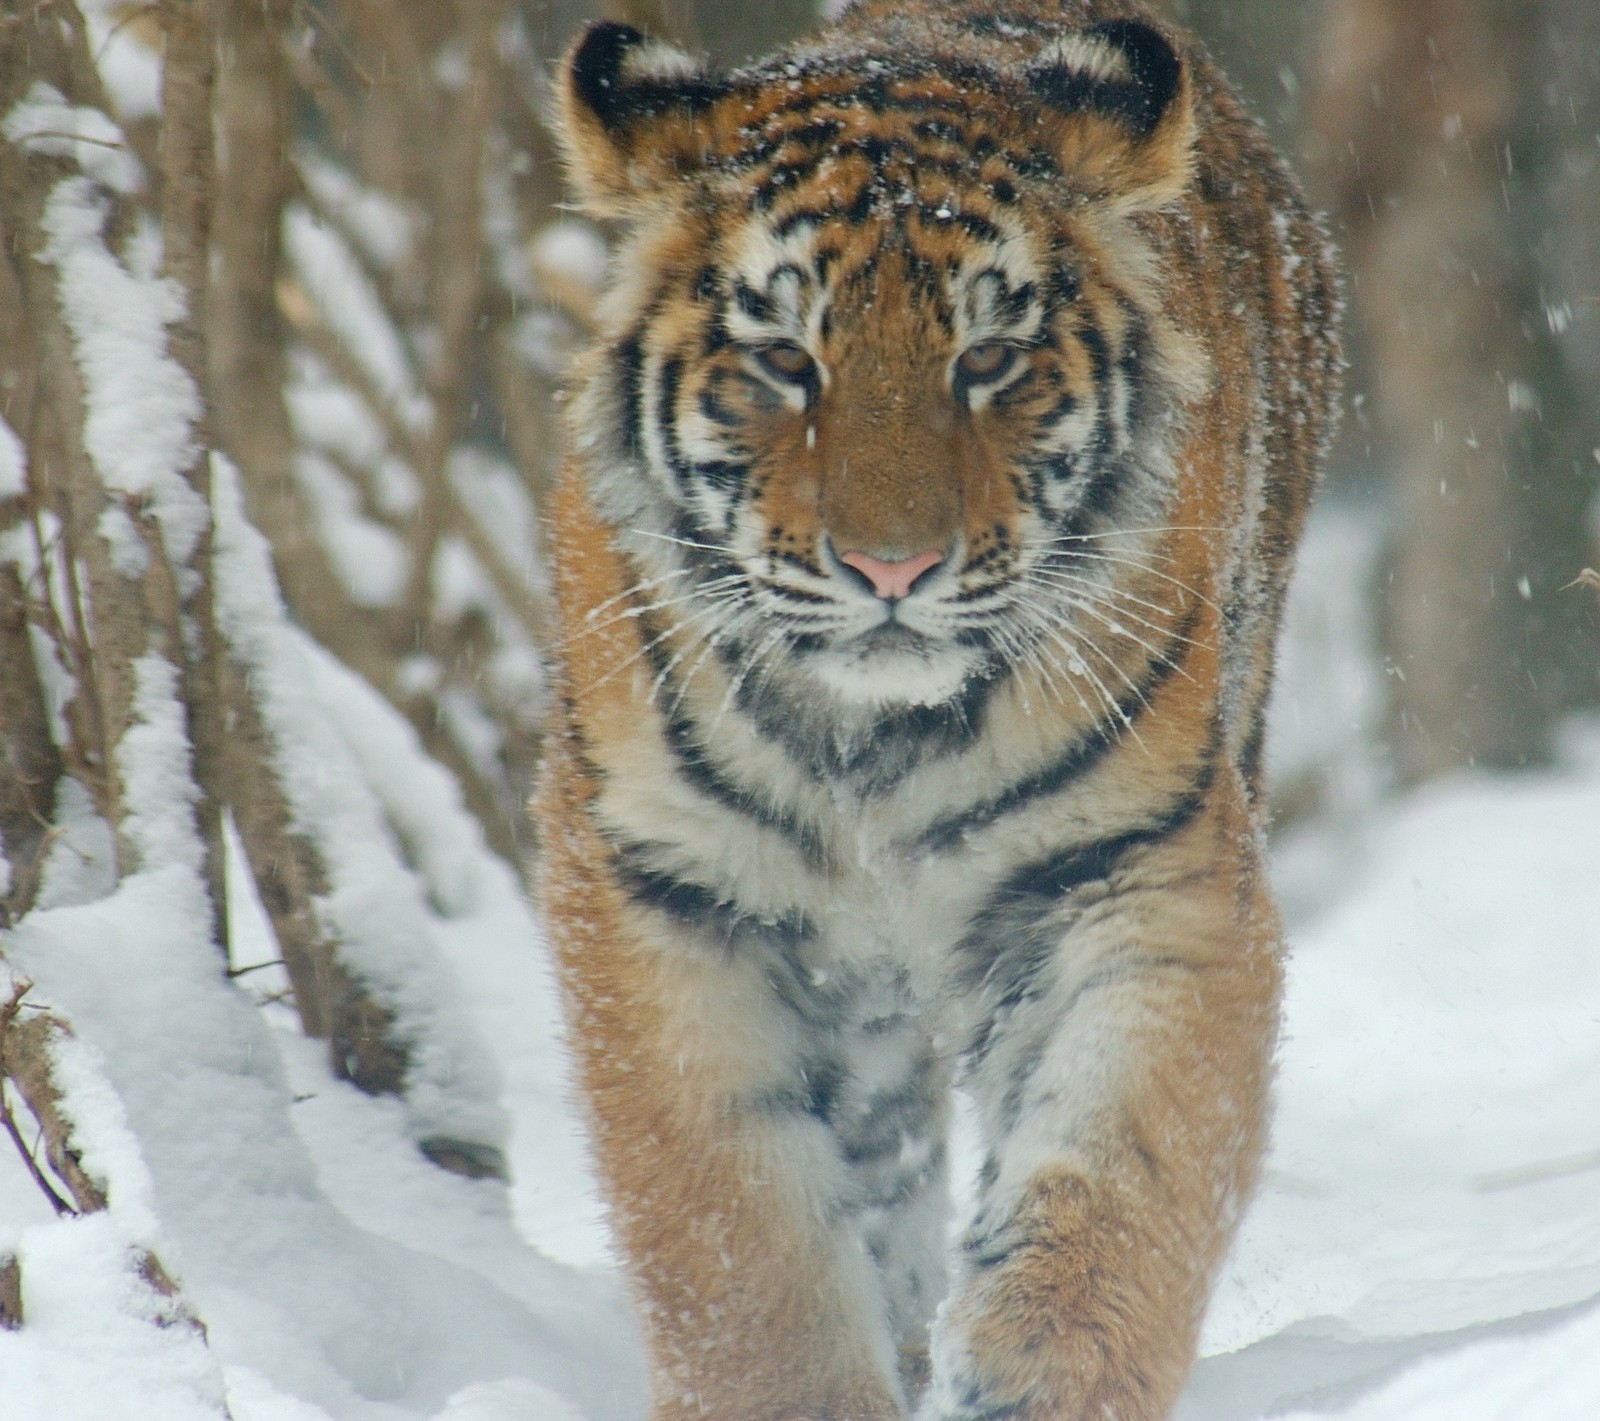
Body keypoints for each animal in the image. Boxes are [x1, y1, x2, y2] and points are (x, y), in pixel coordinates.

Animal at [534, 2, 1337, 1421]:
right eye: (784, 361)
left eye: (989, 359)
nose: (891, 568)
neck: (873, 740)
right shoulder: (668, 891)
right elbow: (736, 1241)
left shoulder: (1135, 869)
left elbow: (1120, 1171)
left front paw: (1035, 1374)